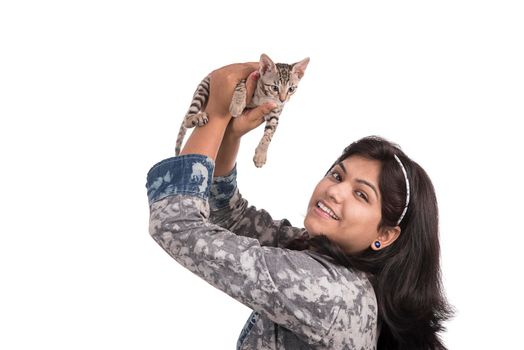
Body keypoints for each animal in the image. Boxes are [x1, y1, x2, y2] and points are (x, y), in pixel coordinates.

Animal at [176, 53, 308, 168]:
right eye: (274, 88)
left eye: (291, 89)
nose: (282, 99)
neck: (265, 97)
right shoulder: (248, 77)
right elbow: (241, 87)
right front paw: (237, 106)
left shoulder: (275, 111)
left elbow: (269, 134)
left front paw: (261, 155)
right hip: (202, 88)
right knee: (187, 118)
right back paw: (195, 118)